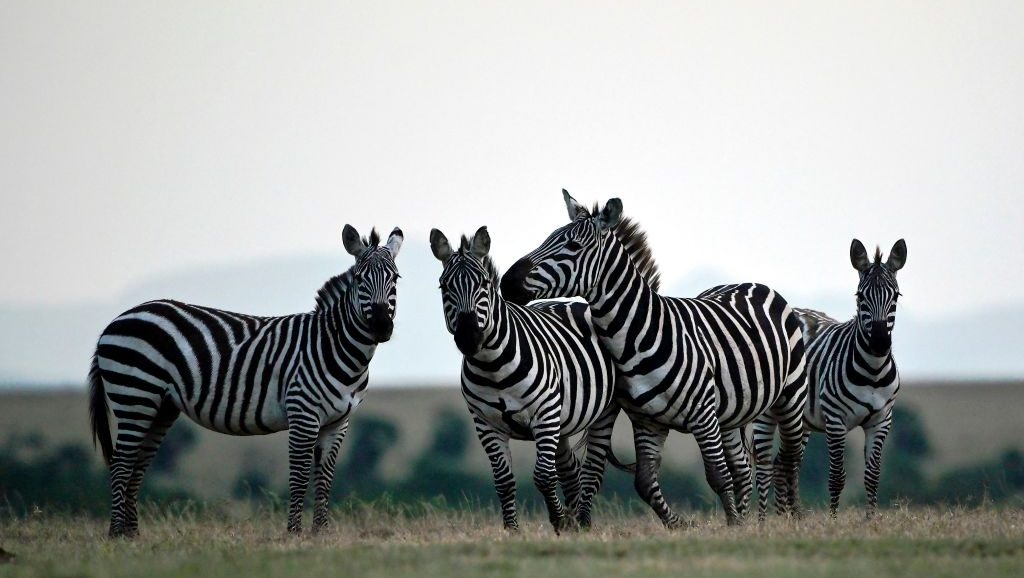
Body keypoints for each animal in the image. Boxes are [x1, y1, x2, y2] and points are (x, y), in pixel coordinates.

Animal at [88, 225, 403, 537]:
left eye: (396, 278)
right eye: (360, 279)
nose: (381, 326)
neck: (335, 348)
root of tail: (114, 322)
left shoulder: (338, 422)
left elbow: (325, 478)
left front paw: (321, 533)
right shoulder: (303, 414)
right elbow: (300, 476)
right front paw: (294, 533)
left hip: (161, 406)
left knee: (137, 464)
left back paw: (132, 535)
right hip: (135, 394)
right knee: (121, 463)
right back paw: (116, 534)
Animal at [430, 226, 621, 532]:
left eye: (484, 284)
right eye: (444, 287)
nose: (469, 338)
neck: (492, 366)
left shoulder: (544, 414)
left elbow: (543, 476)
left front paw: (559, 520)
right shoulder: (485, 424)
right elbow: (504, 481)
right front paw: (513, 531)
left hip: (600, 412)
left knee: (591, 470)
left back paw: (582, 521)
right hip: (561, 424)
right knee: (570, 470)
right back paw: (575, 519)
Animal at [500, 191, 808, 527]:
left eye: (573, 247)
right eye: (547, 239)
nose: (506, 282)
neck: (638, 336)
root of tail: (751, 283)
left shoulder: (703, 414)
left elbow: (717, 475)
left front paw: (732, 528)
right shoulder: (648, 421)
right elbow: (645, 482)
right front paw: (688, 526)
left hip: (791, 396)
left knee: (790, 457)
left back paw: (793, 516)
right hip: (731, 413)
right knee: (742, 467)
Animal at [751, 238, 906, 519]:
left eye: (896, 296)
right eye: (860, 296)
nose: (879, 343)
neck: (874, 372)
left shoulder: (881, 420)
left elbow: (873, 476)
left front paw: (870, 520)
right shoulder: (836, 420)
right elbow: (837, 477)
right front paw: (833, 521)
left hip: (798, 419)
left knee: (785, 464)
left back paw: (789, 518)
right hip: (766, 413)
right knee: (766, 468)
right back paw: (763, 521)